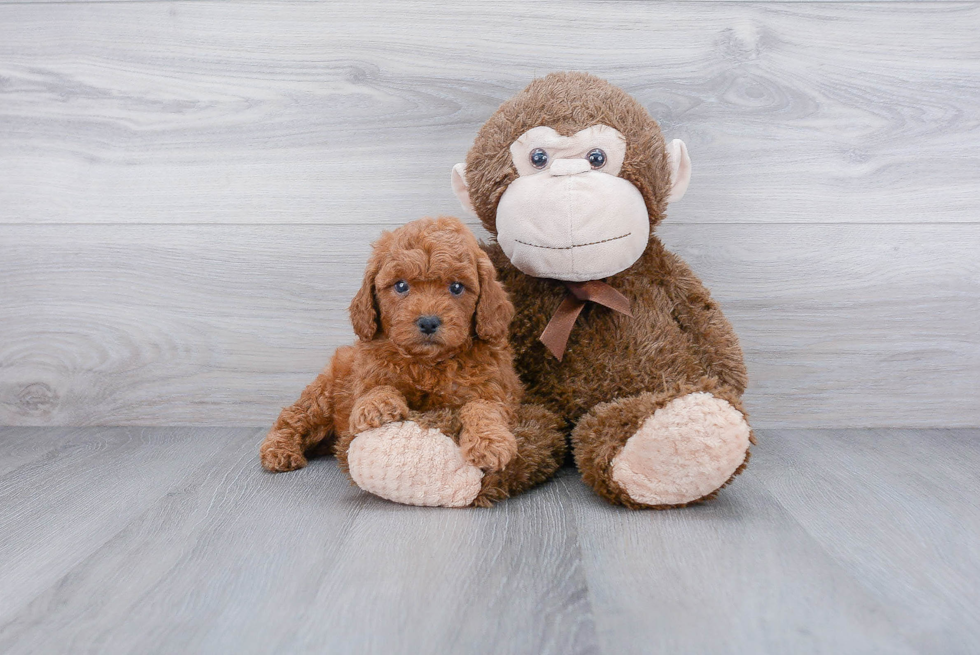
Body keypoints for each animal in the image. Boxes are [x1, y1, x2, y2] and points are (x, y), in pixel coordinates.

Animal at [258, 218, 520, 480]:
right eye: (401, 286)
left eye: (457, 287)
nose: (428, 322)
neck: (427, 364)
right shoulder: (367, 374)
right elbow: (375, 388)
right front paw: (377, 405)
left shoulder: (493, 388)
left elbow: (484, 408)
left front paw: (490, 443)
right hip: (321, 396)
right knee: (292, 417)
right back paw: (279, 451)